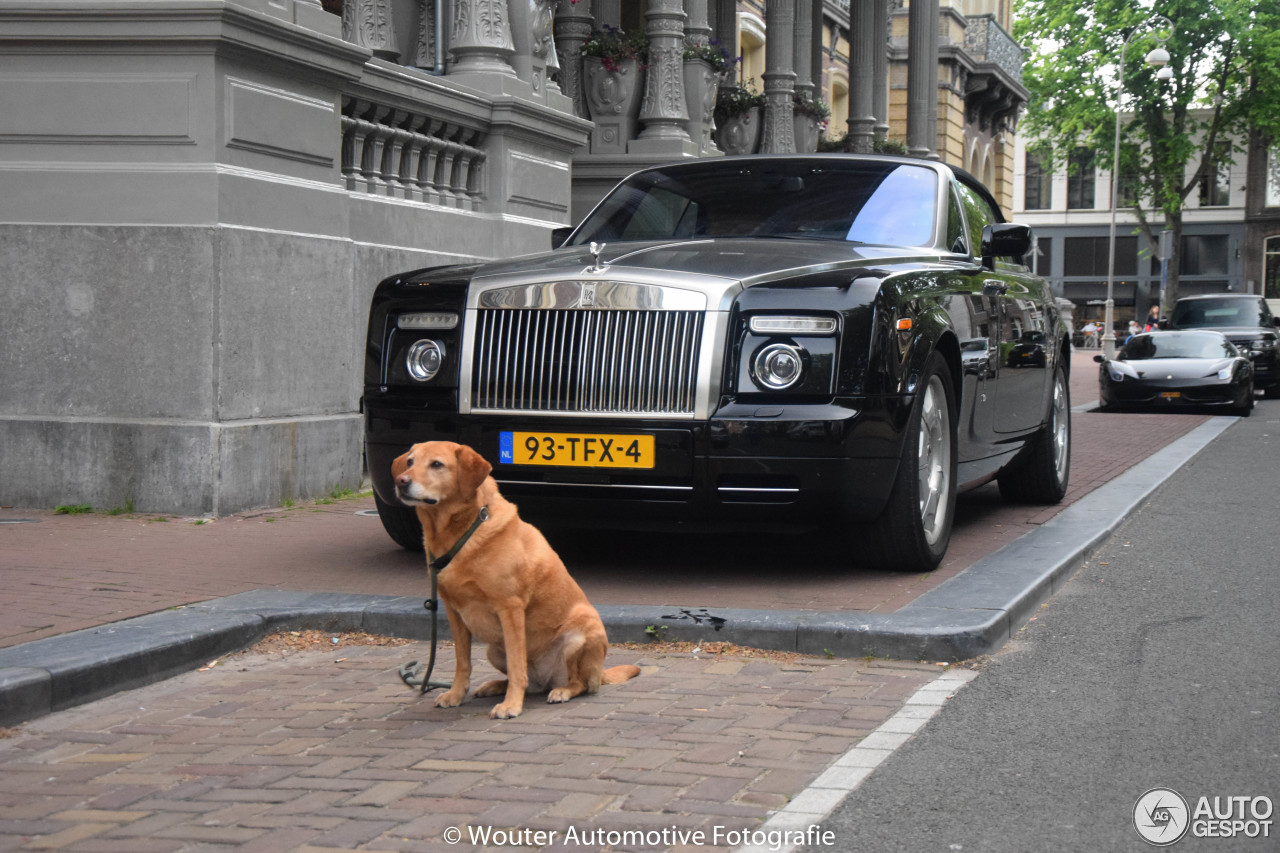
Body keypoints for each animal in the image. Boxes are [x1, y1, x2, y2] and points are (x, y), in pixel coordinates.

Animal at [389, 440, 640, 712]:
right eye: (410, 462)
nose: (401, 481)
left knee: (580, 683)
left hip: (581, 634)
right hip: (493, 650)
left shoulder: (509, 608)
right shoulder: (453, 611)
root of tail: (547, 679)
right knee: (524, 680)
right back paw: (494, 686)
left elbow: (517, 665)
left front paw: (511, 706)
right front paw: (455, 695)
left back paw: (562, 691)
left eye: (436, 464)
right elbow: (462, 662)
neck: (461, 532)